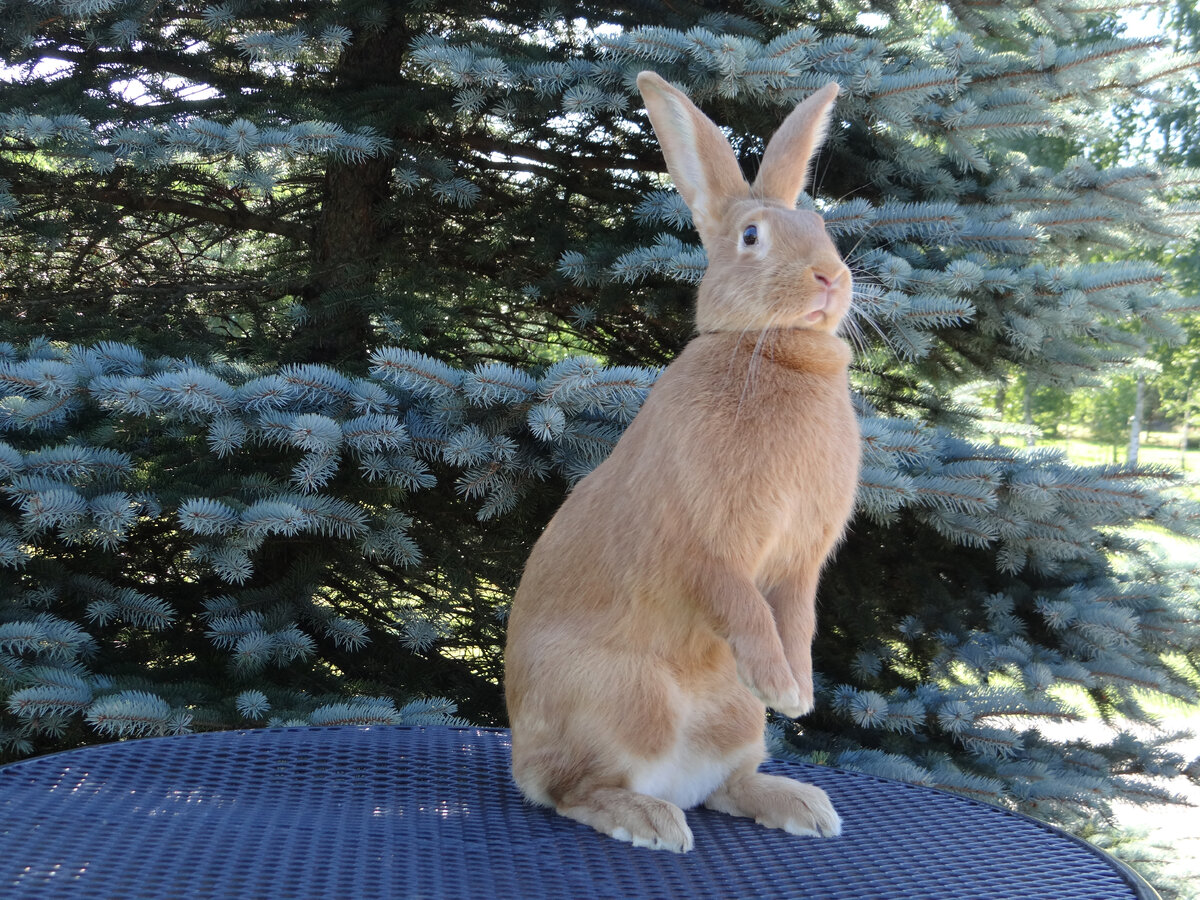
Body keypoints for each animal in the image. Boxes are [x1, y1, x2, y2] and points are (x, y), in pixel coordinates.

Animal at [501, 70, 859, 854]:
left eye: (823, 228)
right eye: (752, 237)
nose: (828, 278)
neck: (772, 350)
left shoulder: (800, 565)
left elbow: (797, 620)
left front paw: (800, 693)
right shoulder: (705, 546)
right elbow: (741, 604)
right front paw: (785, 688)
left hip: (734, 723)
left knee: (725, 784)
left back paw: (801, 804)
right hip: (625, 704)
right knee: (568, 790)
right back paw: (648, 819)